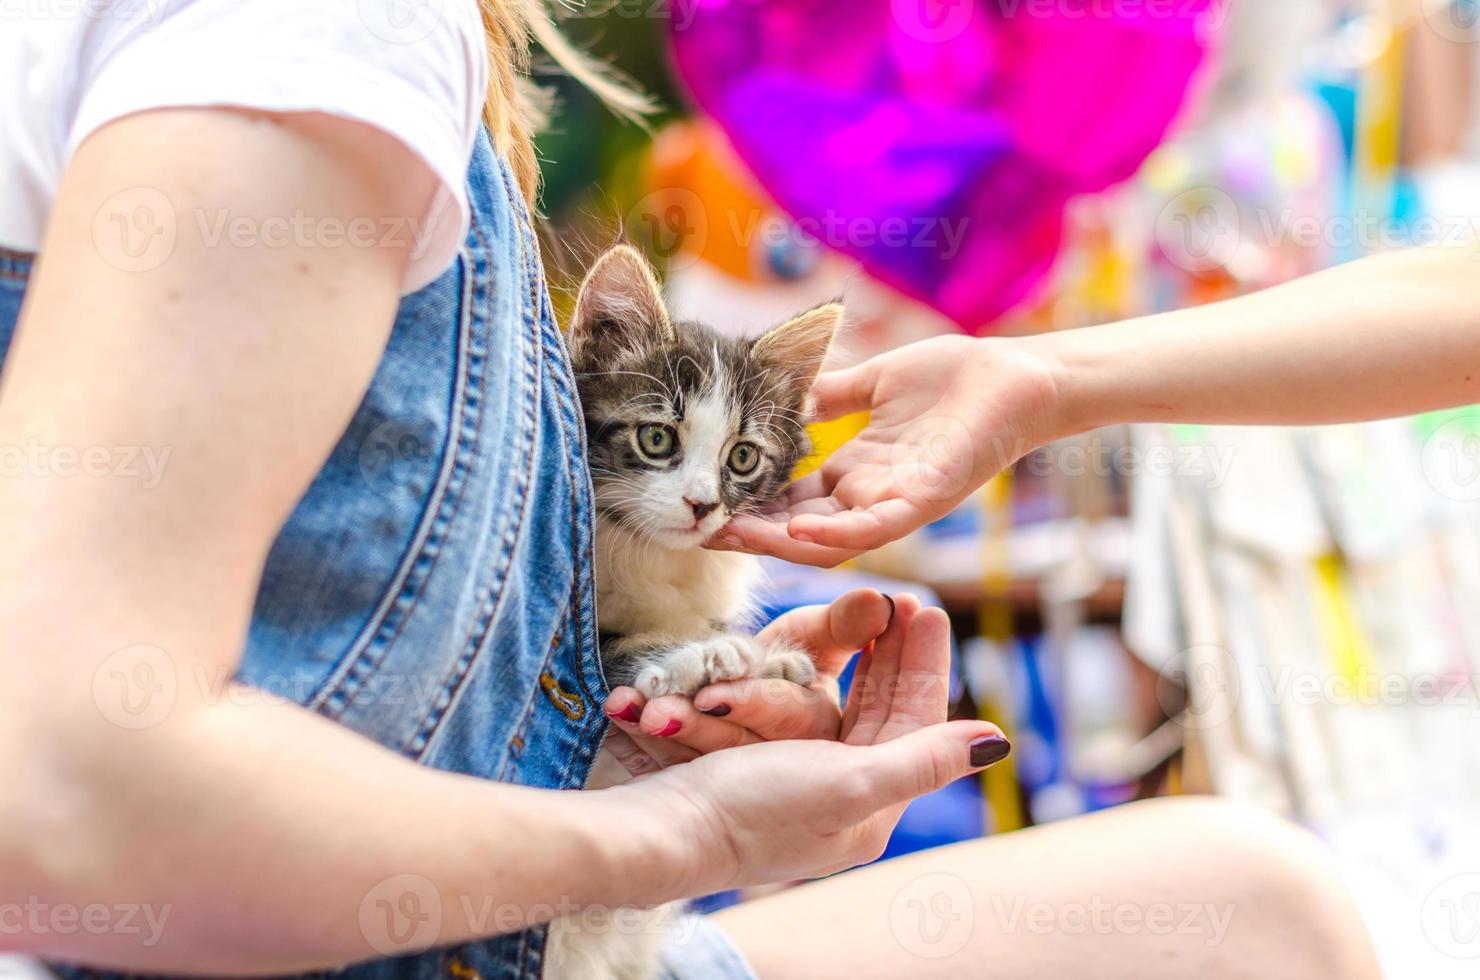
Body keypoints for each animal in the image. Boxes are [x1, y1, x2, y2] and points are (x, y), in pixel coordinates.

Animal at [547, 245, 846, 980]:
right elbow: (604, 657)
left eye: (741, 456)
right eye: (657, 439)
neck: (648, 550)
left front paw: (771, 660)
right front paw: (698, 656)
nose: (703, 505)